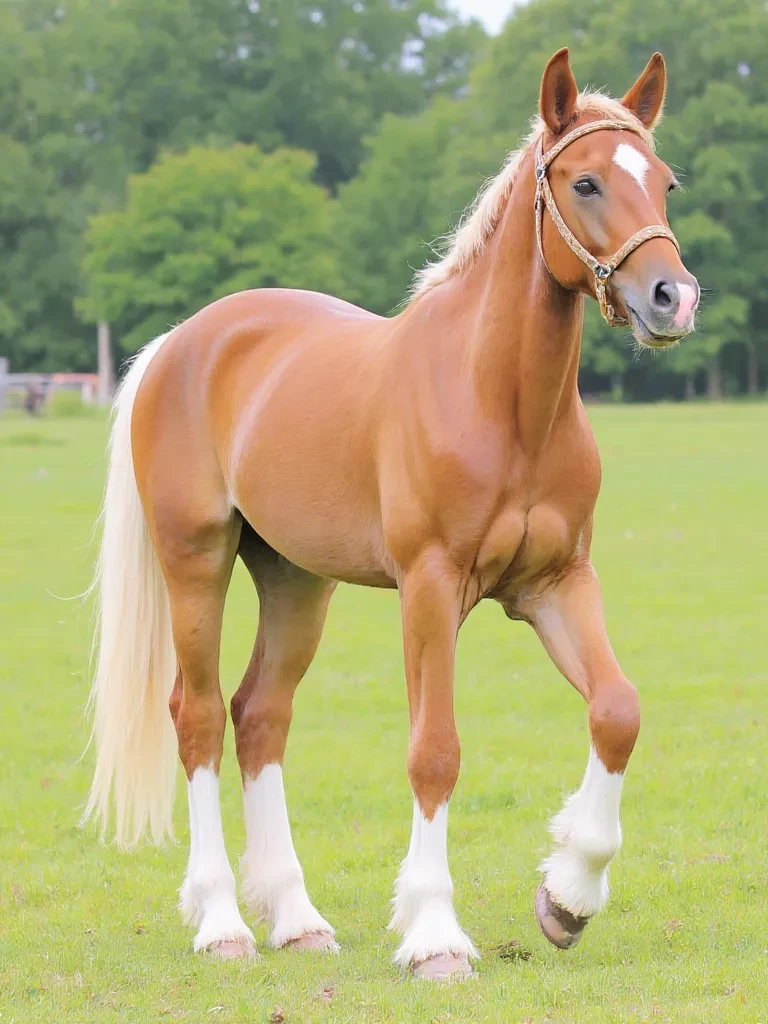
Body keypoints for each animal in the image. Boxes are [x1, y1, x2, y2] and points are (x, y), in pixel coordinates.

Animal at [83, 48, 699, 981]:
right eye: (586, 181)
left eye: (663, 182)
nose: (673, 298)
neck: (501, 403)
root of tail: (179, 343)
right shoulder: (431, 587)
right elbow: (434, 751)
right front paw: (435, 934)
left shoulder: (557, 583)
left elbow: (618, 711)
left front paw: (566, 897)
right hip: (196, 562)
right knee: (197, 718)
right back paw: (223, 923)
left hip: (296, 582)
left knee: (259, 715)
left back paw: (297, 919)